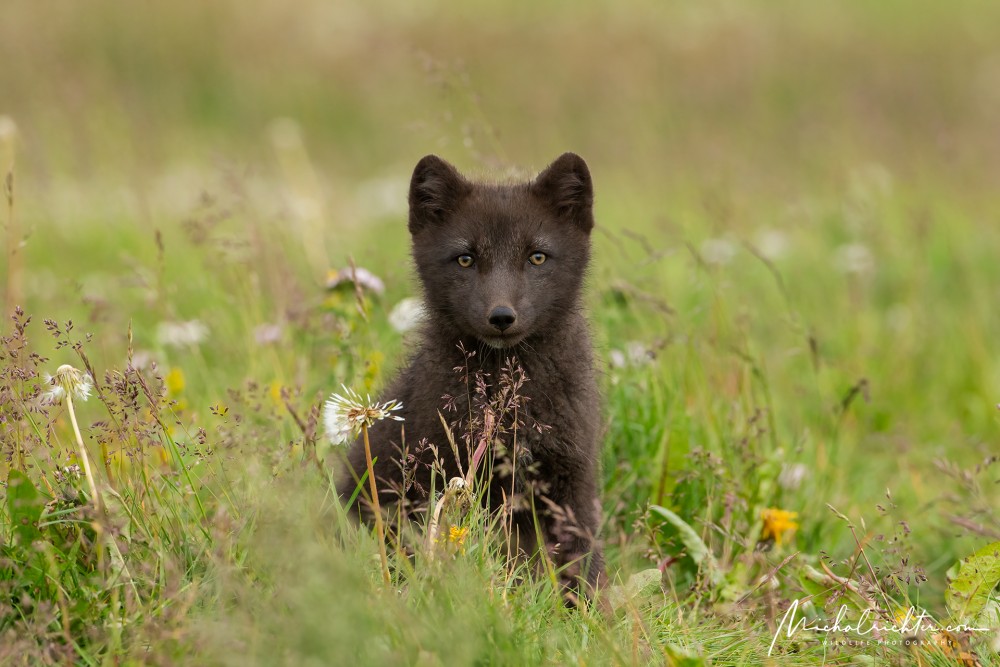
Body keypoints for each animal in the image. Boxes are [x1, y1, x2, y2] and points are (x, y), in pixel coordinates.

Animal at [344, 154, 604, 596]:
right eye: (465, 258)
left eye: (537, 257)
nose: (501, 316)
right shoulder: (440, 476)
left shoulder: (572, 481)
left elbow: (583, 565)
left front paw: (591, 611)